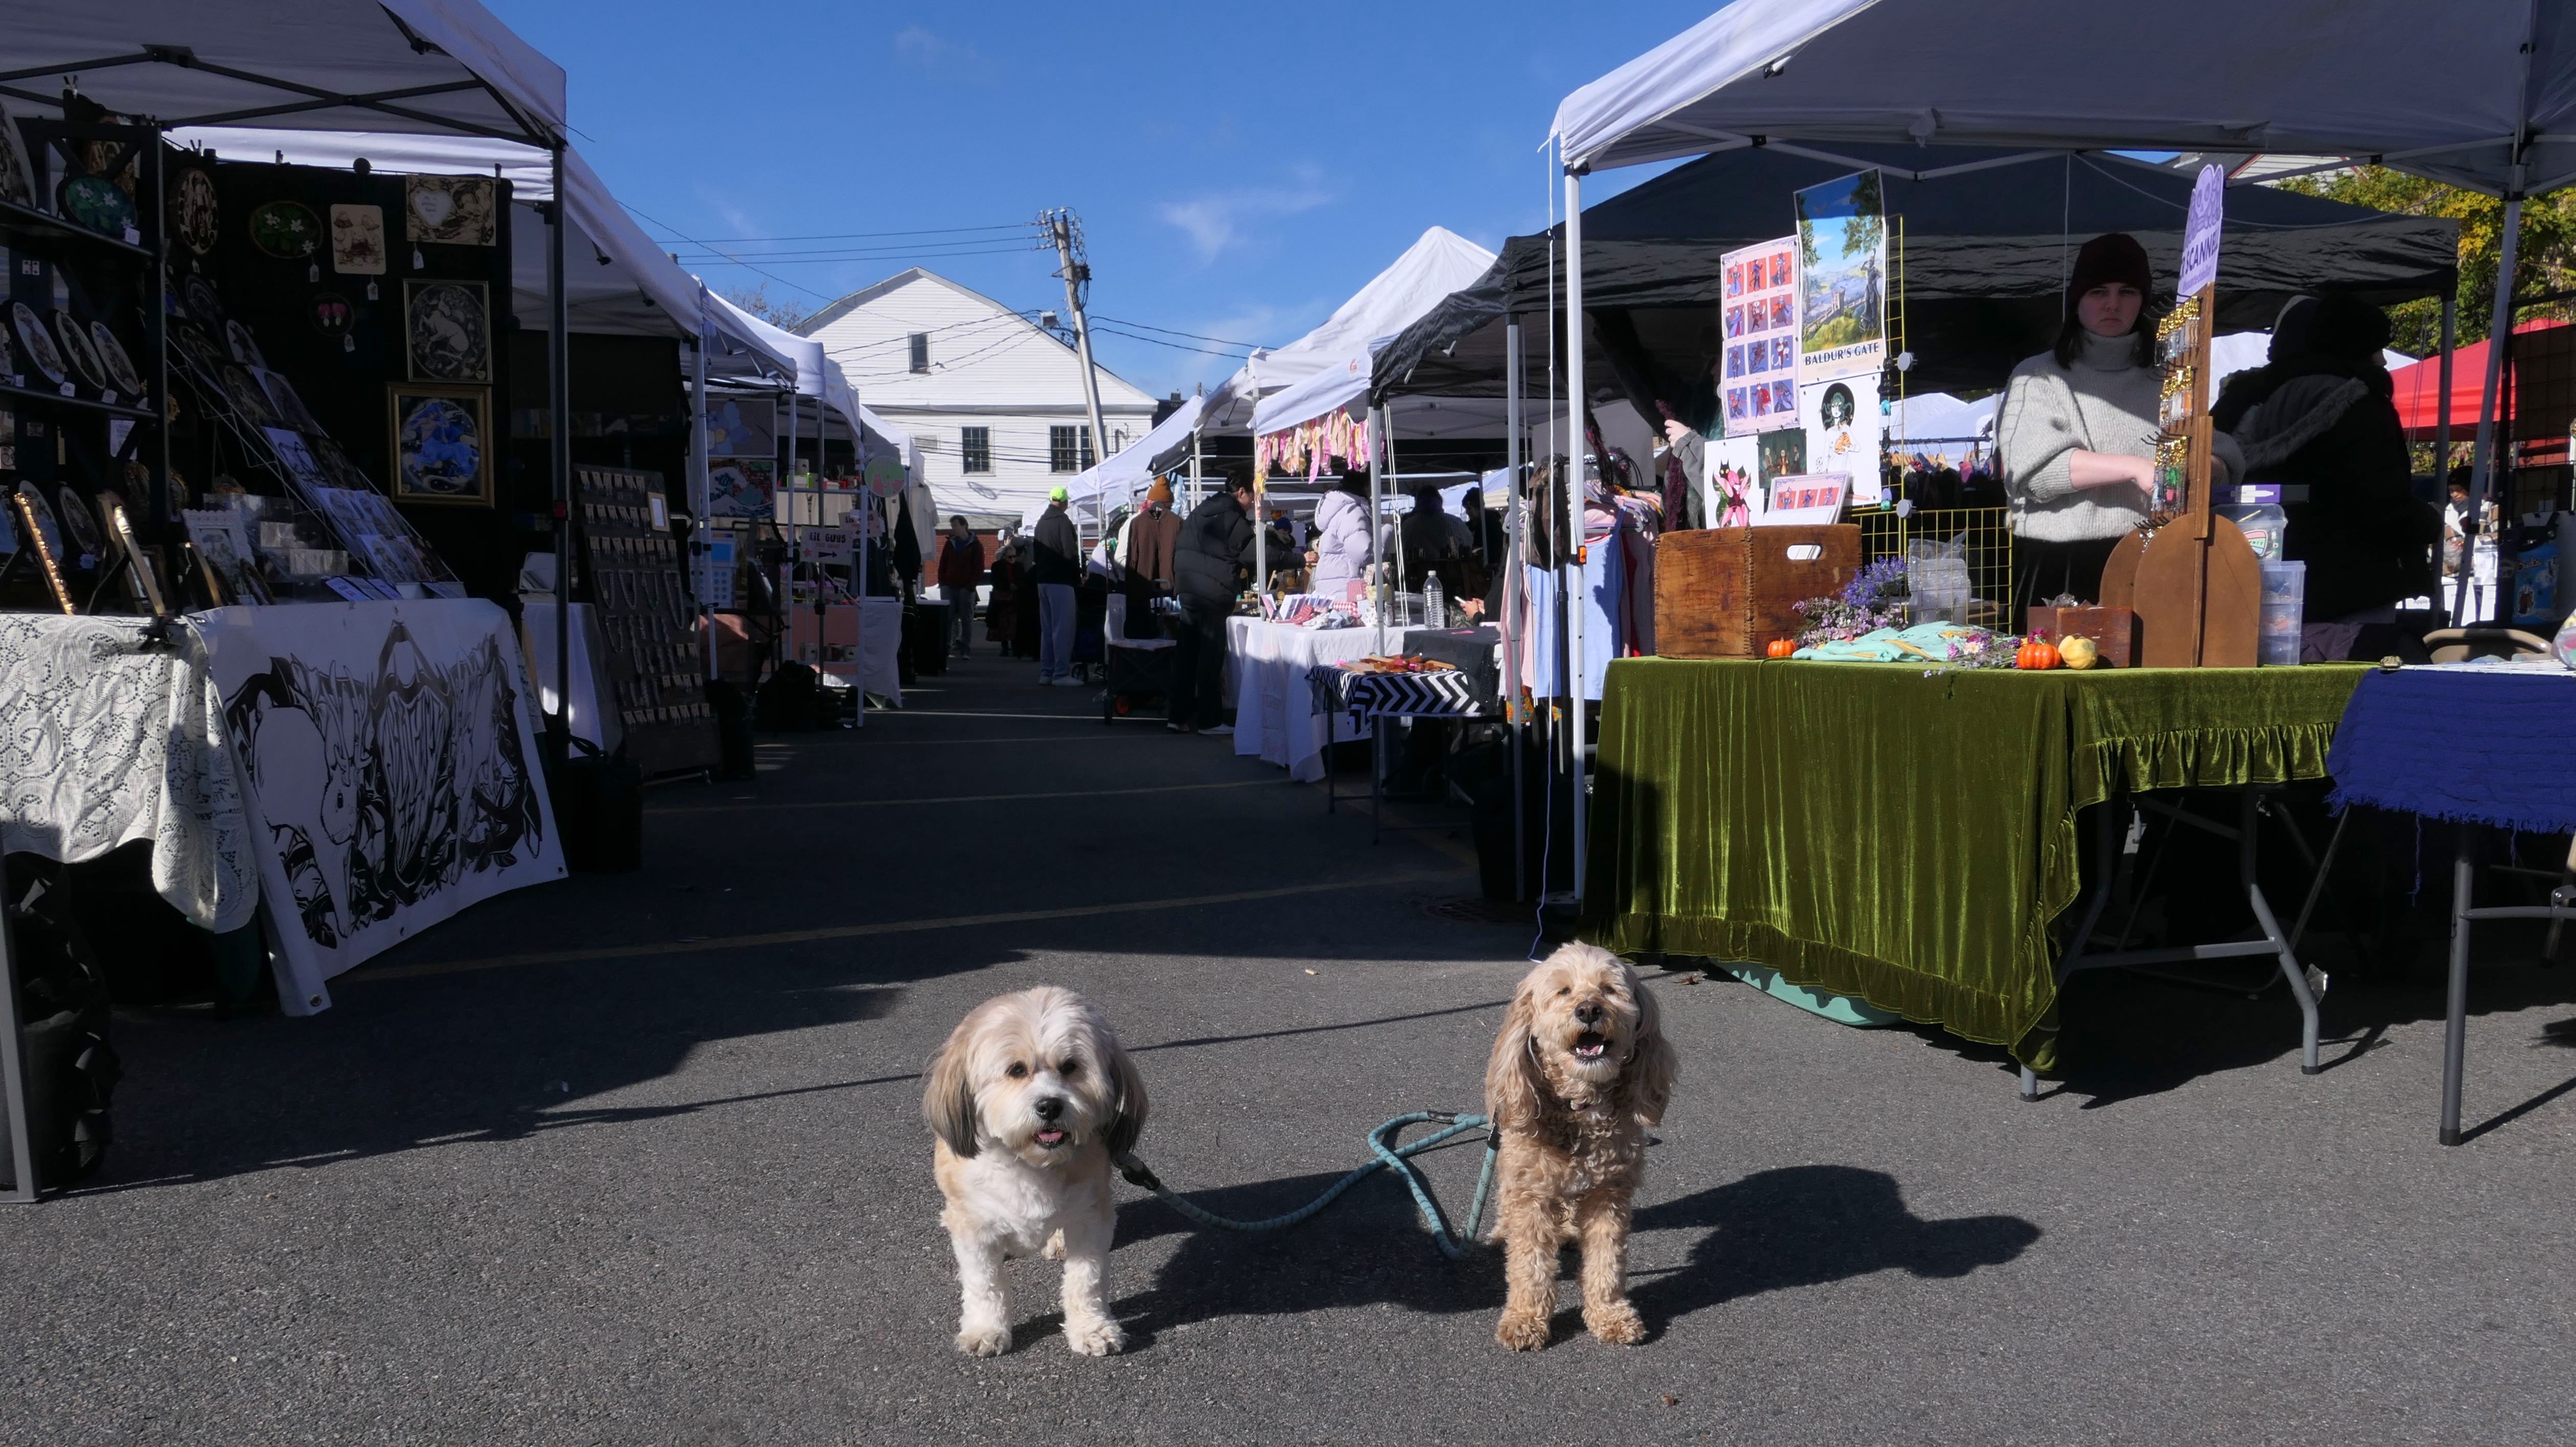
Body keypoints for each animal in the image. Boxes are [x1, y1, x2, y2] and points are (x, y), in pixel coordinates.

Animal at [923, 987, 1147, 1357]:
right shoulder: (971, 1224)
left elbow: (1086, 1280)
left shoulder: (1090, 1216)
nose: (1050, 1105)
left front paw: (1091, 1327)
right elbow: (984, 1283)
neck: (1030, 1163)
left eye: (1070, 1067)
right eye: (1016, 1070)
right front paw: (986, 1329)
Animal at [1485, 943, 1676, 1351]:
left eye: (1609, 989)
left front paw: (1610, 1314)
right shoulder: (1531, 1194)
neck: (1581, 1105)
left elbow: (1608, 1261)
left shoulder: (1610, 1193)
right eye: (1563, 991)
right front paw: (1525, 1319)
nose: (1589, 1010)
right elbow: (1529, 1265)